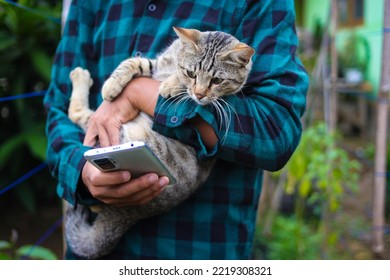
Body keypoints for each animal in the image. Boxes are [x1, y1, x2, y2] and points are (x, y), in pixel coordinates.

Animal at [65, 27, 254, 260]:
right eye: (192, 73)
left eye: (217, 80)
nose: (200, 94)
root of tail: (127, 213)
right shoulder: (157, 63)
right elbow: (135, 62)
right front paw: (112, 85)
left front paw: (170, 85)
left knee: (76, 113)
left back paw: (80, 77)